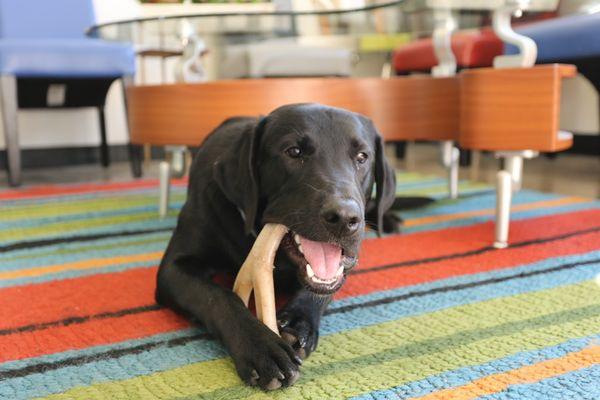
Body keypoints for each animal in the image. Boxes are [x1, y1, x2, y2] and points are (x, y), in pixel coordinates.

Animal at [157, 103, 396, 390]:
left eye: (362, 156)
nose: (344, 218)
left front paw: (298, 321)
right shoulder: (174, 268)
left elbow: (321, 288)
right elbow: (218, 296)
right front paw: (261, 347)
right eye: (293, 152)